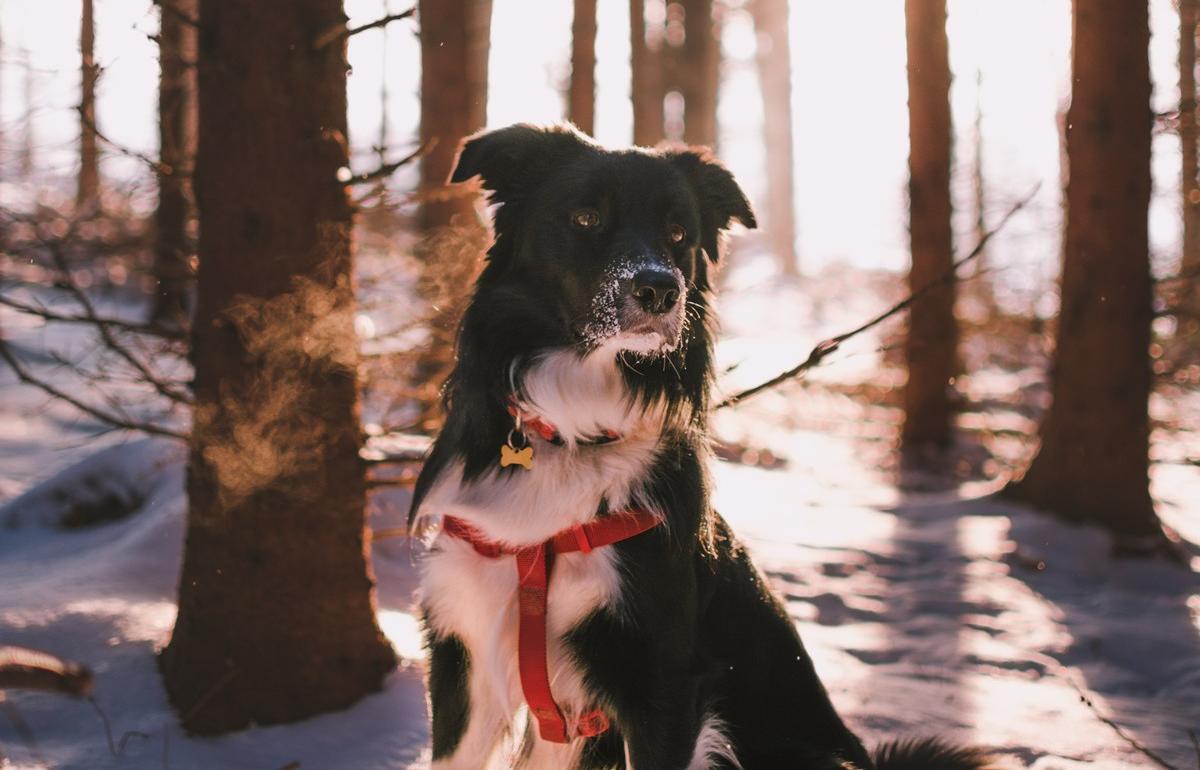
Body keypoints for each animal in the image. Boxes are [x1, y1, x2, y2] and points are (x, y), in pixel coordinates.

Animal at [412, 124, 993, 767]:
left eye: (678, 234)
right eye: (586, 217)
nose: (661, 290)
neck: (574, 427)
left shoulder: (663, 682)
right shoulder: (466, 651)